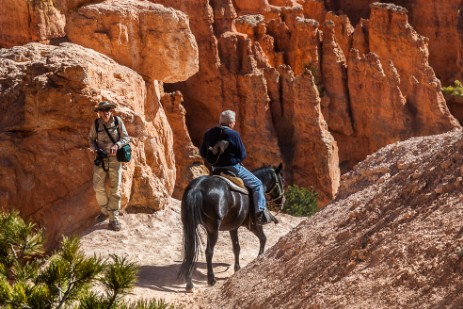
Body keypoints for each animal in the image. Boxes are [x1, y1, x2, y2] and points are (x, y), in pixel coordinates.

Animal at [179, 162, 284, 290]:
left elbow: (236, 248)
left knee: (190, 251)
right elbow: (263, 238)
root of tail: (197, 188)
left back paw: (189, 283)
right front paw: (259, 257)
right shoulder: (254, 225)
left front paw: (237, 268)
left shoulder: (233, 228)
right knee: (209, 252)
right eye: (281, 181)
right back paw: (211, 279)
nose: (281, 201)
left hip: (189, 225)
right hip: (212, 229)